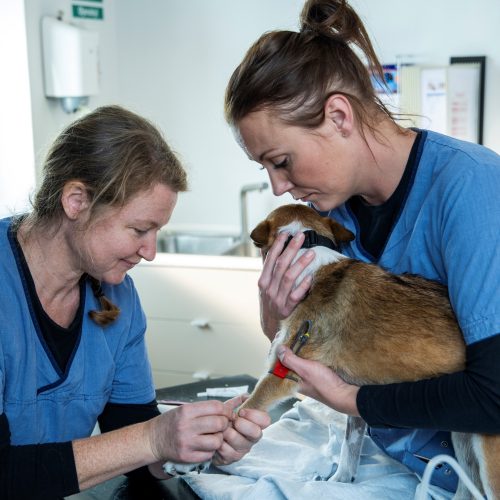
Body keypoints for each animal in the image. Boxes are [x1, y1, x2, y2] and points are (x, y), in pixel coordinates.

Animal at [239, 203, 500, 500]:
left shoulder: (284, 372)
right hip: (464, 436)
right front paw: (339, 481)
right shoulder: (353, 400)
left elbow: (245, 409)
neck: (309, 251)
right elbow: (349, 448)